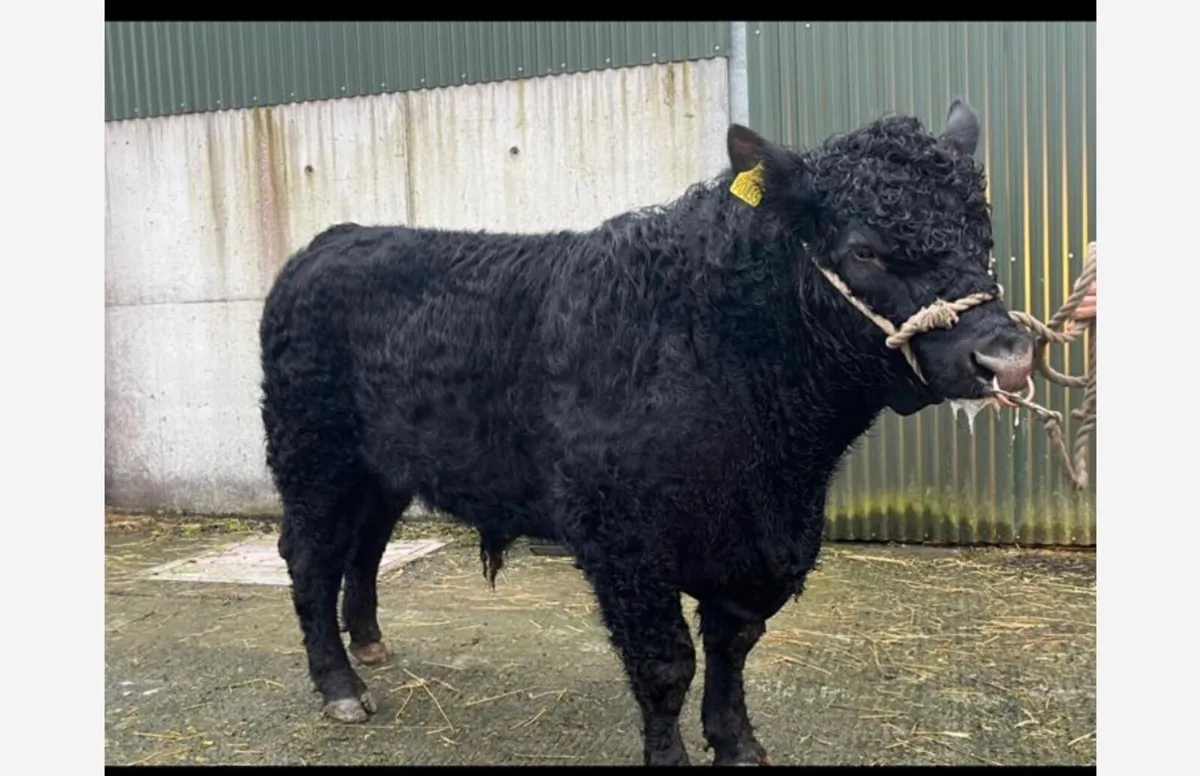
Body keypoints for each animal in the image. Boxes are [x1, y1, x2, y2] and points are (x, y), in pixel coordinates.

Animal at [258, 98, 1034, 766]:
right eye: (865, 250)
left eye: (983, 233)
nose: (1006, 356)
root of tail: (338, 238)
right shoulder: (626, 539)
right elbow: (666, 664)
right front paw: (674, 755)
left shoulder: (757, 546)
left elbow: (733, 643)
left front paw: (738, 744)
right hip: (313, 456)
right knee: (311, 558)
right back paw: (342, 688)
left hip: (381, 470)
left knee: (363, 550)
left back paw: (370, 646)